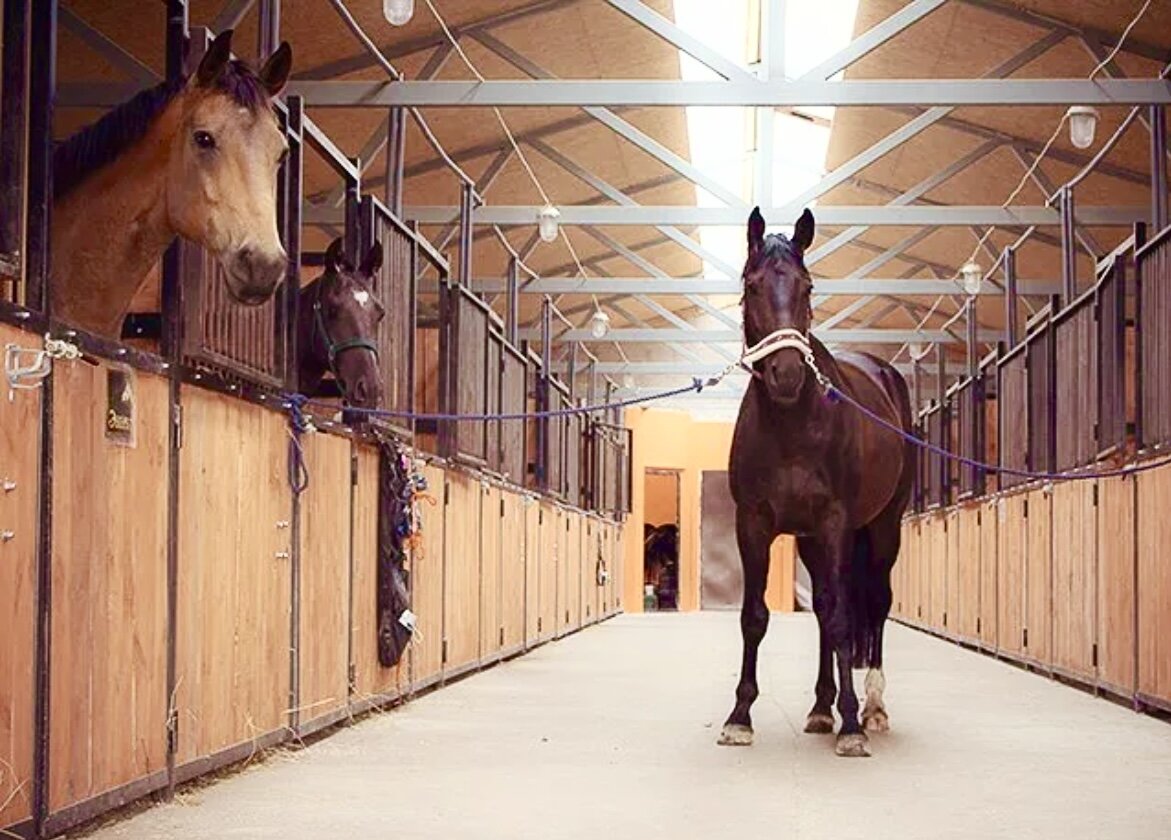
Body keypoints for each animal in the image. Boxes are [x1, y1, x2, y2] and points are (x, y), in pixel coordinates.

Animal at [716, 206, 918, 759]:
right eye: (753, 285)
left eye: (807, 286)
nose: (786, 374)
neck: (793, 423)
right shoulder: (754, 524)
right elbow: (755, 616)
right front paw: (739, 717)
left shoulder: (835, 523)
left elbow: (845, 616)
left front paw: (852, 725)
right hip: (811, 540)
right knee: (828, 607)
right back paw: (821, 708)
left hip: (882, 529)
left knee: (870, 603)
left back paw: (871, 708)